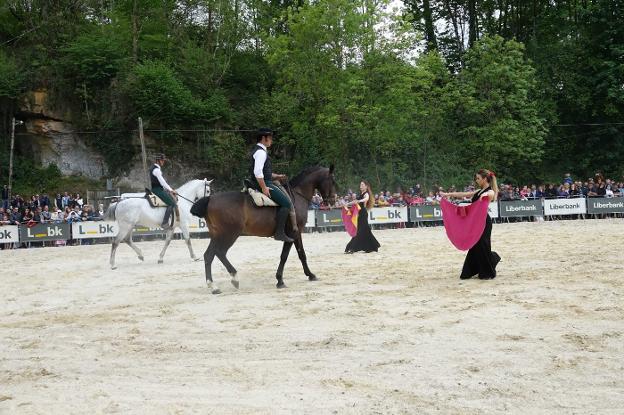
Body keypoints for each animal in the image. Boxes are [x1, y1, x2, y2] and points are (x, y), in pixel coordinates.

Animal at [190, 164, 336, 294]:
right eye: (332, 181)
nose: (333, 201)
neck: (298, 195)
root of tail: (210, 199)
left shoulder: (297, 233)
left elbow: (302, 254)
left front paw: (310, 275)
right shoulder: (292, 233)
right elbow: (284, 256)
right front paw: (280, 280)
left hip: (217, 235)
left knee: (209, 255)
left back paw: (213, 286)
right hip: (229, 234)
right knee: (220, 253)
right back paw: (234, 278)